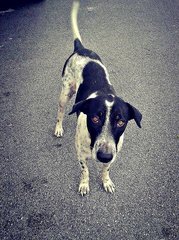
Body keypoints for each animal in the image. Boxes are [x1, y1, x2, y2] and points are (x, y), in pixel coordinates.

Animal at [54, 0, 143, 196]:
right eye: (95, 118)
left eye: (121, 121)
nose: (104, 155)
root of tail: (81, 48)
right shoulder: (80, 154)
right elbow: (85, 170)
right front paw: (84, 184)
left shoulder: (114, 153)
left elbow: (106, 169)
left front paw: (106, 181)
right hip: (65, 92)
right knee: (60, 112)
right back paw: (58, 128)